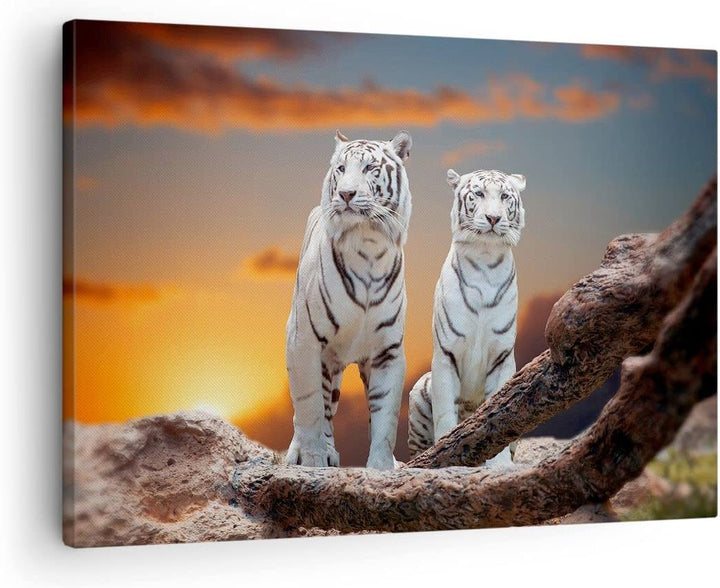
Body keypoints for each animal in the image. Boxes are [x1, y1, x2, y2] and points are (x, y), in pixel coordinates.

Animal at [285, 130, 413, 470]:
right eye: (341, 169)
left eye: (370, 168)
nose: (345, 194)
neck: (368, 243)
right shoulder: (303, 340)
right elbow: (309, 407)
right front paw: (311, 459)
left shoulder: (387, 350)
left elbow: (385, 417)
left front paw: (382, 467)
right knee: (319, 407)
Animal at [408, 168, 526, 468]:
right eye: (479, 194)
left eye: (504, 196)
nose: (493, 218)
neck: (485, 258)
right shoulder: (446, 354)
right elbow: (445, 415)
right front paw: (446, 454)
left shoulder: (502, 356)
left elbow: (499, 413)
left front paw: (499, 465)